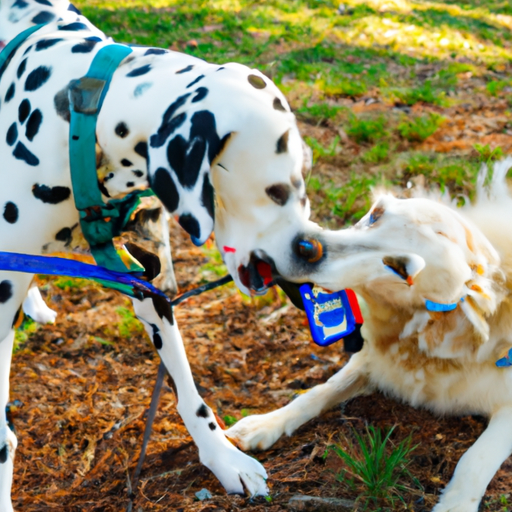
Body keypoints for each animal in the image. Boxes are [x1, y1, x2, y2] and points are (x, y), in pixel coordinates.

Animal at [0, 0, 326, 506]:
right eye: (276, 190)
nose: (311, 251)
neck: (81, 115)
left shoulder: (147, 284)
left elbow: (190, 394)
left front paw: (223, 460)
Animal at [230, 157, 512, 512]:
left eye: (401, 269)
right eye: (375, 215)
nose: (305, 247)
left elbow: (476, 458)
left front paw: (455, 505)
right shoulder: (371, 362)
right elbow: (317, 392)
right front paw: (264, 424)